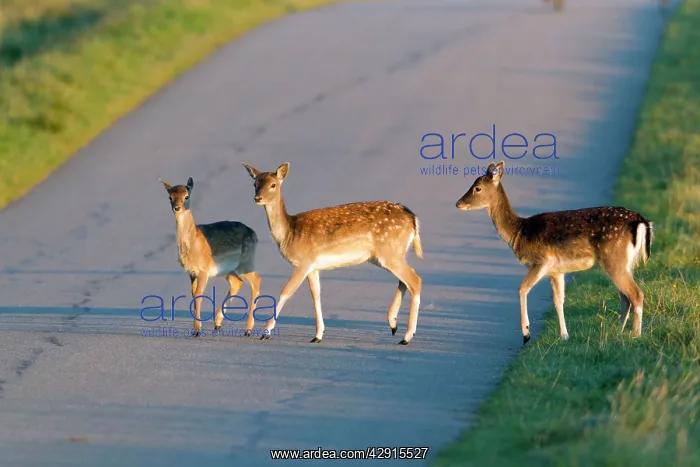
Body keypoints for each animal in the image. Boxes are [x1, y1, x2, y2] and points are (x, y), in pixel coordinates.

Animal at [159, 177, 262, 337]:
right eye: (170, 197)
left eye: (186, 196)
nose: (177, 208)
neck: (194, 244)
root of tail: (254, 234)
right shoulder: (191, 272)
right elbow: (194, 294)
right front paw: (196, 329)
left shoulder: (204, 270)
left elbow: (199, 294)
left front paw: (197, 330)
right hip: (229, 270)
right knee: (237, 282)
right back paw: (217, 324)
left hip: (246, 262)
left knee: (256, 281)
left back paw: (248, 330)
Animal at [242, 162, 424, 345]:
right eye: (255, 184)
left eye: (273, 184)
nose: (258, 198)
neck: (289, 233)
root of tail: (412, 218)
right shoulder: (313, 267)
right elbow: (316, 294)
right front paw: (318, 335)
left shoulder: (303, 262)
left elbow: (285, 292)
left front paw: (265, 332)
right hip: (387, 255)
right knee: (404, 281)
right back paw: (393, 324)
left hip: (390, 252)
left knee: (415, 280)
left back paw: (407, 336)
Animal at [456, 161, 653, 345]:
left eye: (477, 188)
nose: (458, 203)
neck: (519, 233)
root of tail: (641, 221)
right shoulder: (556, 271)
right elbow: (558, 301)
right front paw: (564, 335)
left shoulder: (541, 261)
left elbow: (522, 288)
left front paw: (526, 334)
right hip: (625, 263)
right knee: (625, 297)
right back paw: (618, 332)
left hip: (614, 259)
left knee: (636, 294)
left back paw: (636, 335)